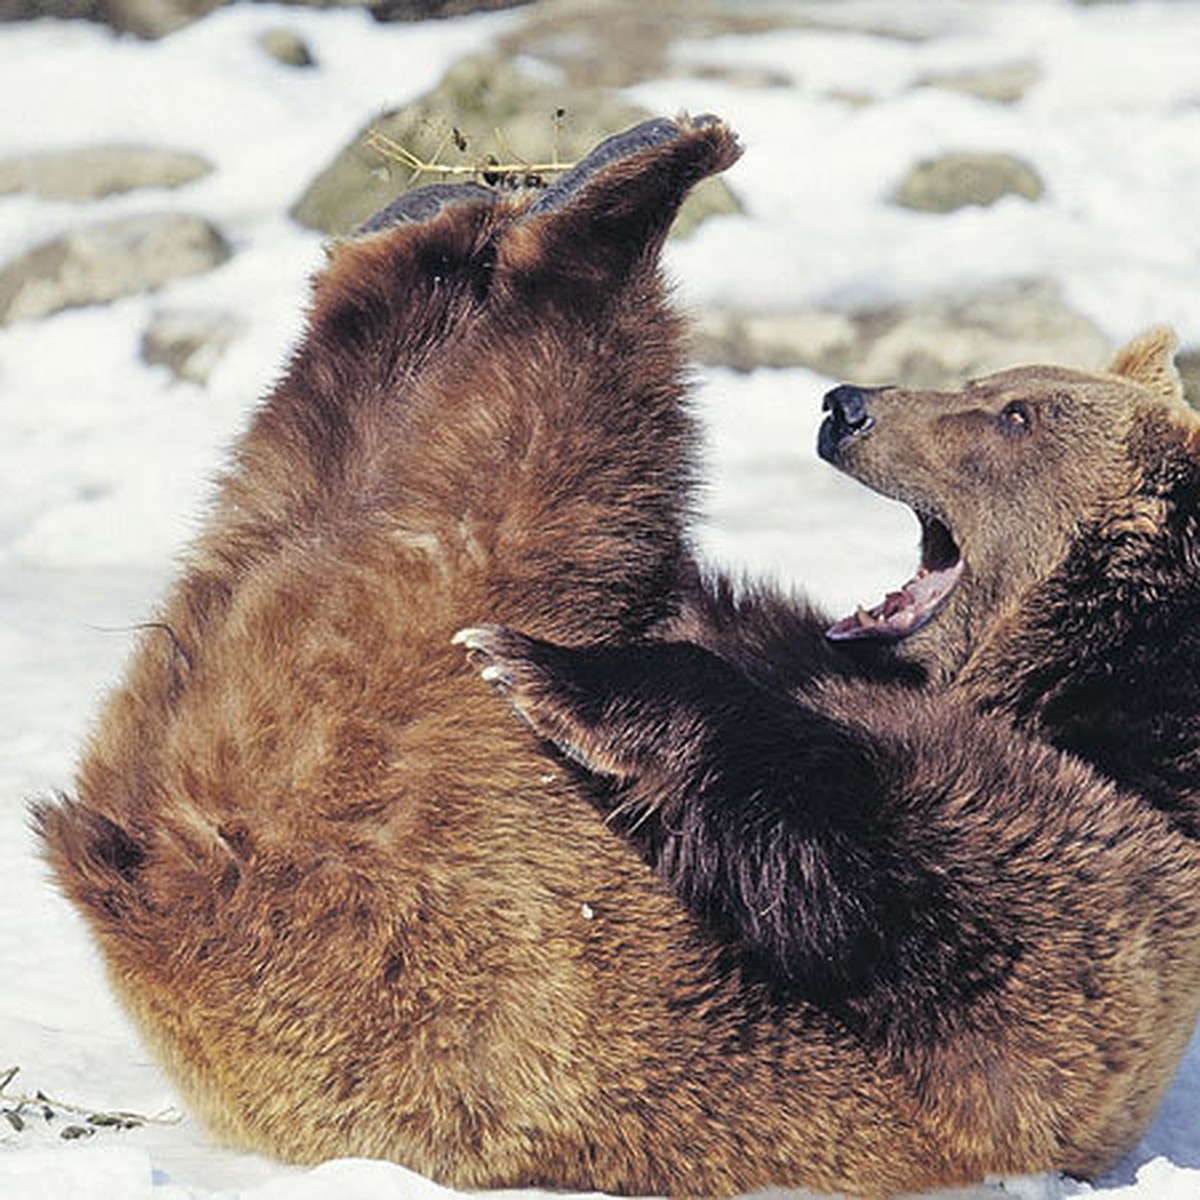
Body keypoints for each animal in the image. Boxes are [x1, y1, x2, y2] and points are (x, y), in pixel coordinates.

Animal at [30, 114, 1200, 1200]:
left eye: (1015, 413)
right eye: (985, 379)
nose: (846, 405)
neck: (1070, 693)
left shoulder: (1086, 904)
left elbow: (907, 882)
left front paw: (554, 674)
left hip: (382, 768)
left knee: (526, 417)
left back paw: (608, 197)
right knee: (339, 427)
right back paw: (482, 202)